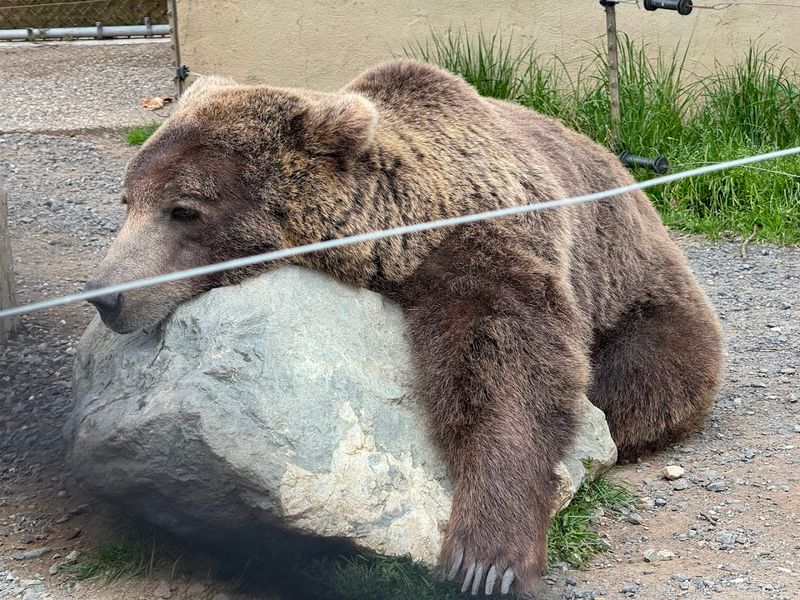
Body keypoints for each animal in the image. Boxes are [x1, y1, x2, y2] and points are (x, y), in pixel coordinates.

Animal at [85, 59, 724, 596]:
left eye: (184, 209)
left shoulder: (489, 240)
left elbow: (513, 366)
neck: (398, 235)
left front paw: (486, 557)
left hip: (638, 288)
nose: (106, 295)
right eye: (127, 199)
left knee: (645, 375)